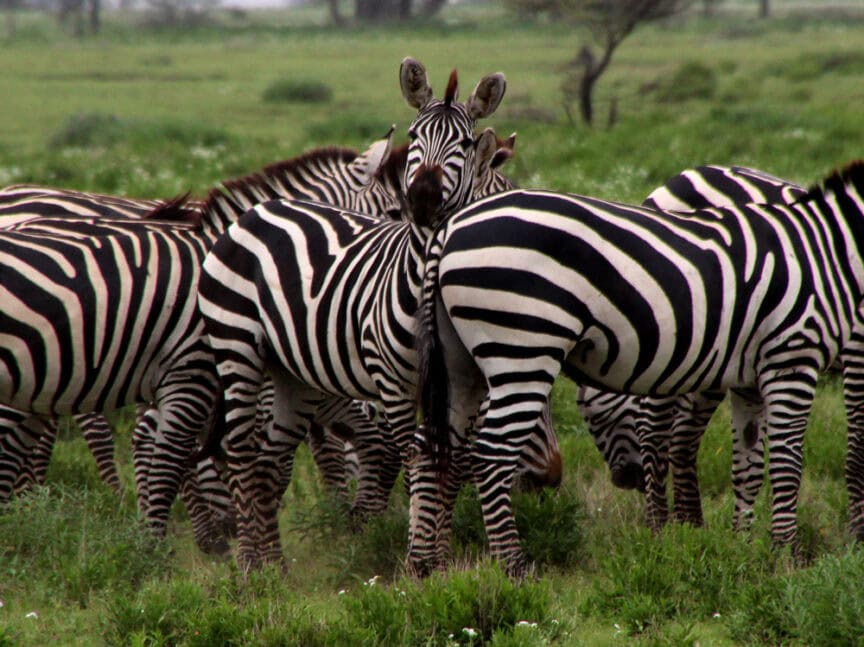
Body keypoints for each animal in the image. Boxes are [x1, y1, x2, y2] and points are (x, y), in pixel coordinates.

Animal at [196, 58, 559, 571]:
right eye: (414, 133)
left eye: (465, 143)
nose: (423, 196)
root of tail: (256, 212)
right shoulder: (393, 383)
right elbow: (419, 458)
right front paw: (419, 560)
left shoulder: (458, 382)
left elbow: (452, 459)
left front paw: (439, 558)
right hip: (237, 348)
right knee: (241, 449)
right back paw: (249, 563)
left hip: (292, 372)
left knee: (271, 459)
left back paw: (274, 565)